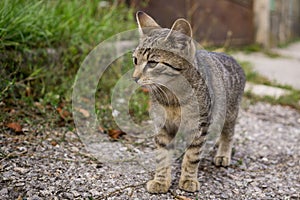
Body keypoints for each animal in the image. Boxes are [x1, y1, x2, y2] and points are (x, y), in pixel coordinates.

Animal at [132, 11, 245, 194]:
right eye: (135, 60)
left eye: (153, 63)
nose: (134, 77)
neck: (172, 97)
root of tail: (229, 56)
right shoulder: (163, 126)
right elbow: (162, 156)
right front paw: (161, 181)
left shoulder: (199, 125)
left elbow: (192, 156)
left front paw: (188, 180)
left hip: (230, 113)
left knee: (228, 133)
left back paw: (223, 154)